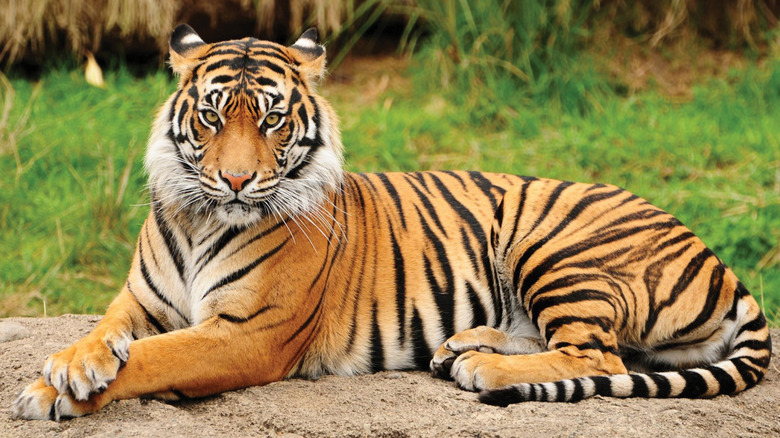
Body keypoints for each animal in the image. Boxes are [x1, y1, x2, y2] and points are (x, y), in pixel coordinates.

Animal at [13, 24, 772, 420]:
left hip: (553, 243)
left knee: (599, 355)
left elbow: (156, 357)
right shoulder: (140, 301)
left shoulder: (246, 334)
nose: (235, 180)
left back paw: (484, 370)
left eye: (272, 120)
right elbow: (105, 333)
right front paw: (71, 365)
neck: (203, 219)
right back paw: (463, 346)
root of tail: (718, 260)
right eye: (210, 116)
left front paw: (51, 392)